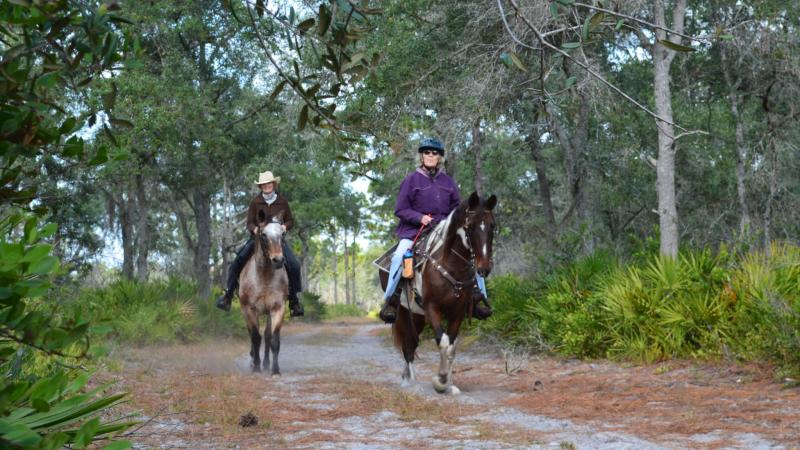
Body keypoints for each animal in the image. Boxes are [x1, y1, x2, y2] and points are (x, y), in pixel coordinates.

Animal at [238, 211, 288, 376]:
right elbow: (255, 337)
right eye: (263, 234)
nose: (278, 260)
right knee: (252, 335)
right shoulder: (249, 309)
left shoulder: (278, 308)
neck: (264, 276)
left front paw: (275, 370)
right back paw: (254, 362)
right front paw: (256, 368)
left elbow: (273, 340)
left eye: (283, 233)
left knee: (266, 336)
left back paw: (266, 363)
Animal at [380, 192, 496, 394]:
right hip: (404, 313)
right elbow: (442, 341)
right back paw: (411, 381)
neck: (450, 265)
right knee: (408, 345)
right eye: (470, 226)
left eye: (493, 226)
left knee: (412, 343)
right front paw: (440, 380)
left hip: (417, 316)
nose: (484, 268)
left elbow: (451, 346)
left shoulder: (457, 311)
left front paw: (449, 383)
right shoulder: (432, 307)